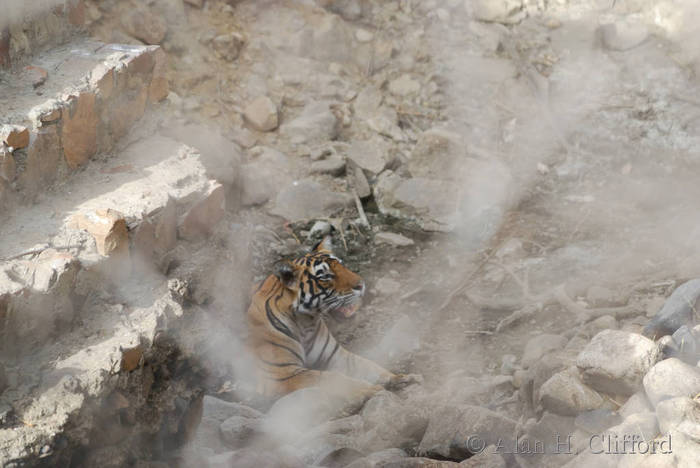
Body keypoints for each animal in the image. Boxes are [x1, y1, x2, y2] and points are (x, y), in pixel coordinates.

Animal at [246, 235, 421, 400]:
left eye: (342, 265)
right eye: (325, 277)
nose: (361, 285)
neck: (306, 323)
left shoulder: (338, 357)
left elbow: (370, 366)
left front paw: (402, 378)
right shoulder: (283, 373)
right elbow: (332, 379)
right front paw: (371, 389)